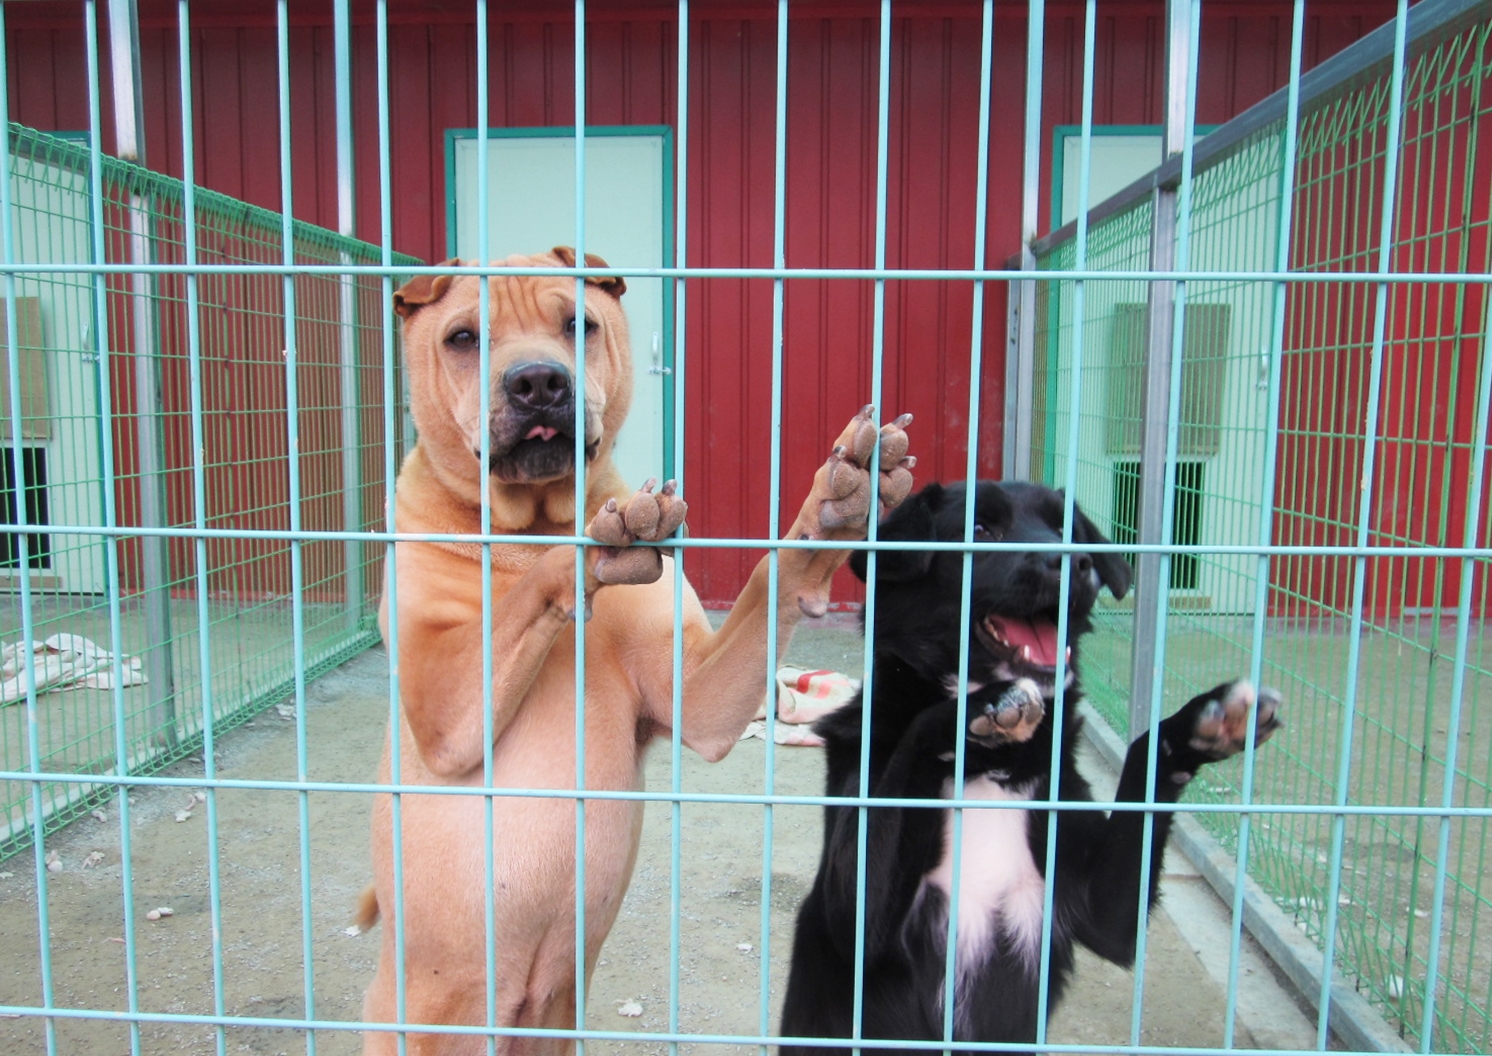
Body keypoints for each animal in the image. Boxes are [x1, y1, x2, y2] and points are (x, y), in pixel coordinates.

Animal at [359, 246, 913, 1050]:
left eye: (578, 324)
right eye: (463, 337)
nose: (537, 382)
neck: (528, 528)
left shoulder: (699, 696)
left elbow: (773, 572)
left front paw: (841, 501)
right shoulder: (443, 705)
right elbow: (542, 583)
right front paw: (608, 537)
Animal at [781, 480, 1283, 1056]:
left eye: (1065, 529)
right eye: (979, 529)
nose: (1078, 564)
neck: (992, 766)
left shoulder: (1099, 911)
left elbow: (1146, 749)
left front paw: (1206, 718)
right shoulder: (851, 919)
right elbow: (925, 730)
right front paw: (985, 705)